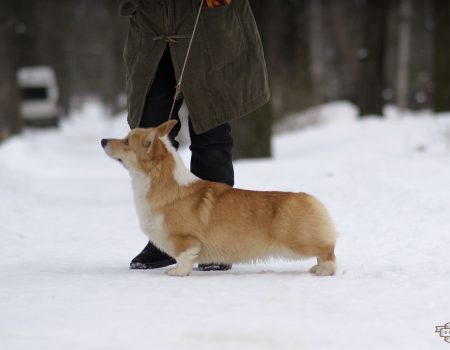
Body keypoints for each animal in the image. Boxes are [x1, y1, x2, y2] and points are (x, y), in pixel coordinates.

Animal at [100, 120, 336, 276]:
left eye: (126, 141)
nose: (102, 140)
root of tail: (309, 198)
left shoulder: (186, 239)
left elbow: (183, 256)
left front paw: (177, 272)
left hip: (298, 241)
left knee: (328, 250)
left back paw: (323, 269)